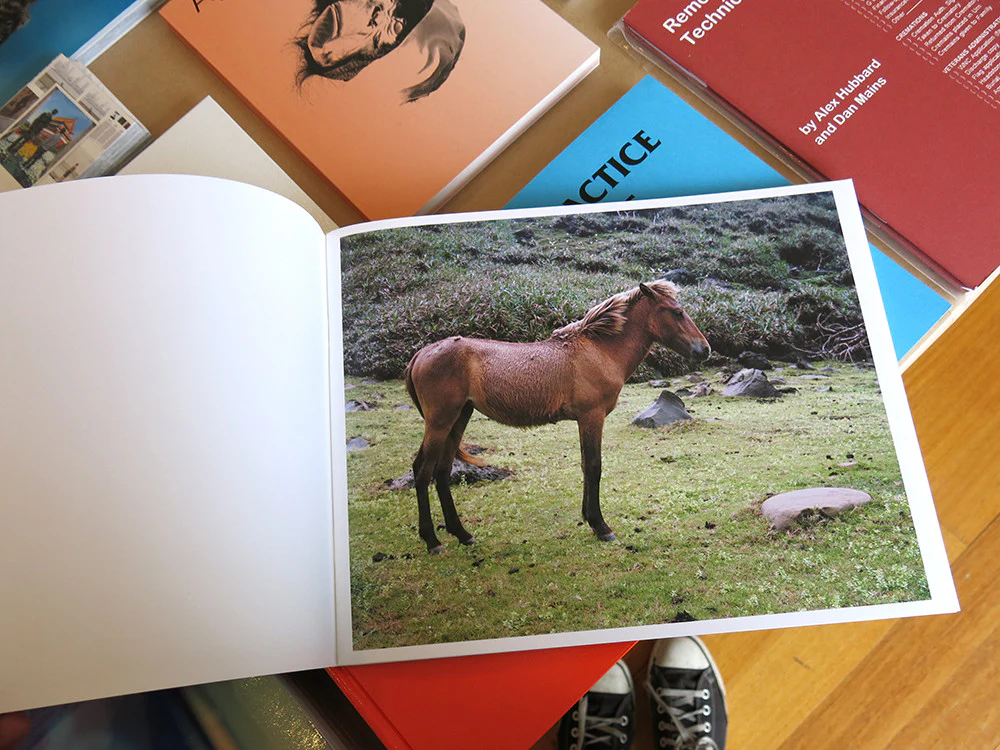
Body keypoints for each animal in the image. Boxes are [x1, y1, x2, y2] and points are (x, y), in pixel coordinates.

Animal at [403, 279, 710, 553]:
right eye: (677, 312)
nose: (705, 349)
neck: (599, 351)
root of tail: (420, 354)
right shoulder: (592, 417)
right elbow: (594, 466)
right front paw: (601, 526)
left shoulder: (584, 420)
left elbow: (586, 466)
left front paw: (589, 519)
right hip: (440, 421)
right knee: (423, 471)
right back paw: (433, 541)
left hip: (459, 418)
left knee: (442, 472)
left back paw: (463, 534)